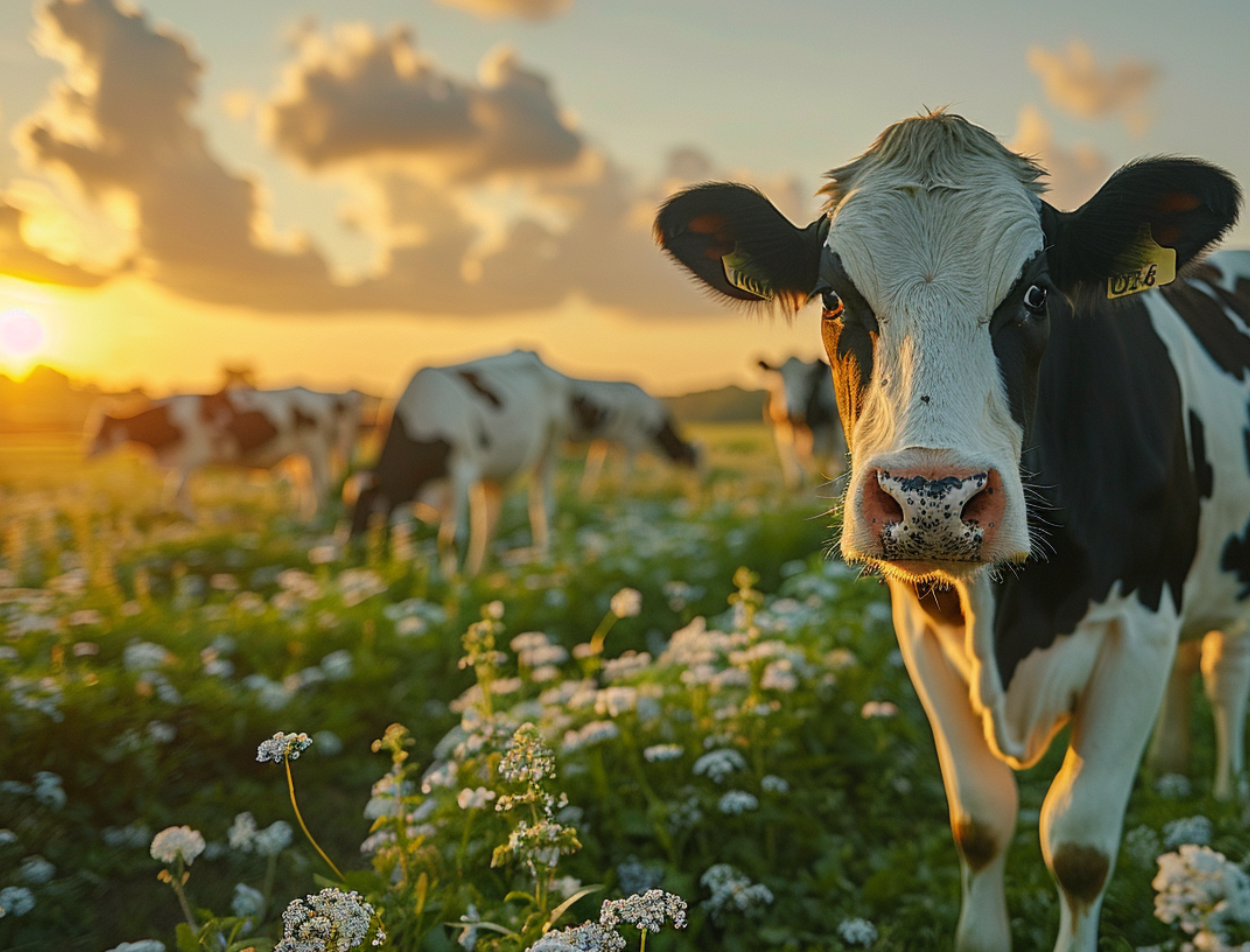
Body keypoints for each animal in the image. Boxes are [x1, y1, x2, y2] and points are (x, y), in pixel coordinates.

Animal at [86, 387, 362, 519]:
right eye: (93, 429)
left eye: (101, 431)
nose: (86, 454)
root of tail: (330, 397)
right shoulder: (185, 462)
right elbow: (181, 490)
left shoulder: (189, 457)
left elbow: (177, 491)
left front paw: (192, 518)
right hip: (298, 456)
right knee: (305, 483)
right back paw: (303, 515)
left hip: (316, 449)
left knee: (319, 484)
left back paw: (314, 516)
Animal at [347, 347, 572, 572]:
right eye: (348, 509)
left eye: (370, 514)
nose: (350, 552)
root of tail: (526, 351)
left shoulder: (461, 471)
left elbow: (452, 538)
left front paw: (452, 580)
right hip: (493, 472)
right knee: (488, 519)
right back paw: (477, 572)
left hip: (550, 443)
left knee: (541, 508)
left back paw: (544, 561)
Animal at [567, 377, 705, 497]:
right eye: (696, 461)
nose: (699, 487)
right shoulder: (632, 441)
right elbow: (625, 474)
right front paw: (621, 500)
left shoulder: (604, 441)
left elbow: (594, 468)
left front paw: (585, 495)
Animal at [755, 354, 845, 489]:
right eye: (779, 377)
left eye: (808, 379)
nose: (789, 411)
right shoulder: (782, 426)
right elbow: (791, 456)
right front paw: (797, 482)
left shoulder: (835, 422)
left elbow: (837, 458)